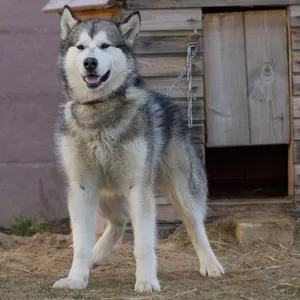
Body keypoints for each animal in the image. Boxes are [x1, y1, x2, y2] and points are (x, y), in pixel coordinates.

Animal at [52, 5, 224, 292]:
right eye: (81, 47)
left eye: (105, 45)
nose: (90, 62)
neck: (99, 111)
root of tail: (166, 100)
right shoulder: (82, 186)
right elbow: (80, 245)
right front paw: (76, 278)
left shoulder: (138, 186)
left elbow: (143, 245)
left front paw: (146, 281)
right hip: (104, 193)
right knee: (119, 221)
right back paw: (97, 255)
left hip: (181, 189)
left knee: (195, 225)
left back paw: (210, 264)